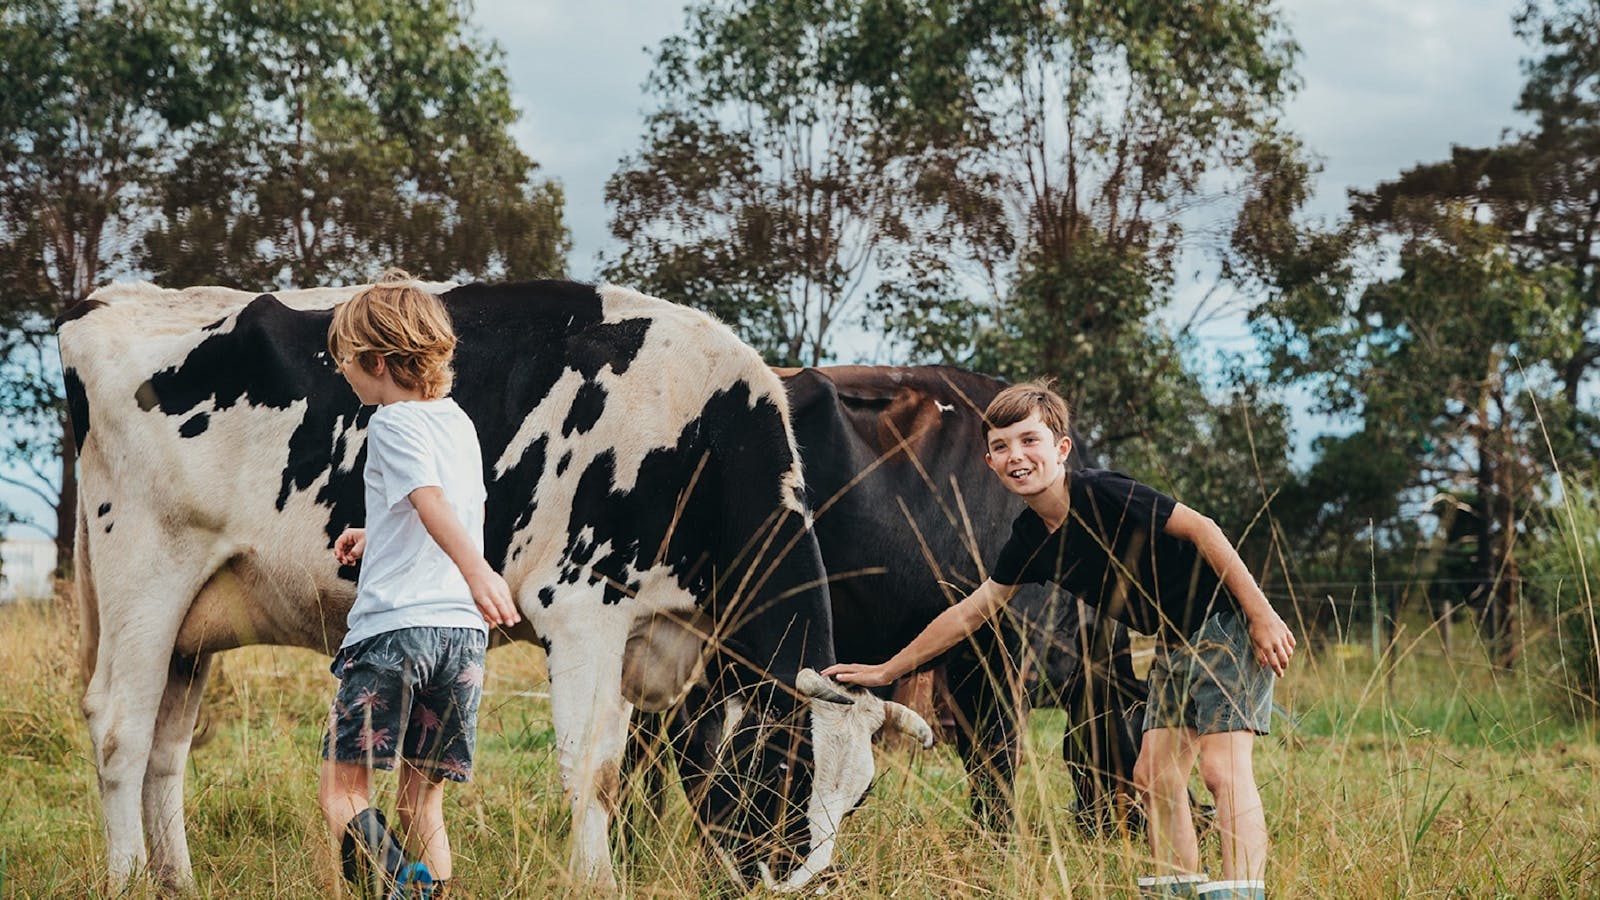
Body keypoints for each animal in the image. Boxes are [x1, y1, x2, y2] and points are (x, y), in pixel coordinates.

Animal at [59, 278, 928, 890]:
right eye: (783, 771)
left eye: (860, 798)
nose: (792, 884)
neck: (703, 436)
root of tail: (112, 300)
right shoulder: (584, 606)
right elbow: (593, 768)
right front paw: (595, 882)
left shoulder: (667, 641)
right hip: (147, 570)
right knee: (121, 728)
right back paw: (129, 879)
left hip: (195, 620)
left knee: (166, 746)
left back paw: (177, 879)